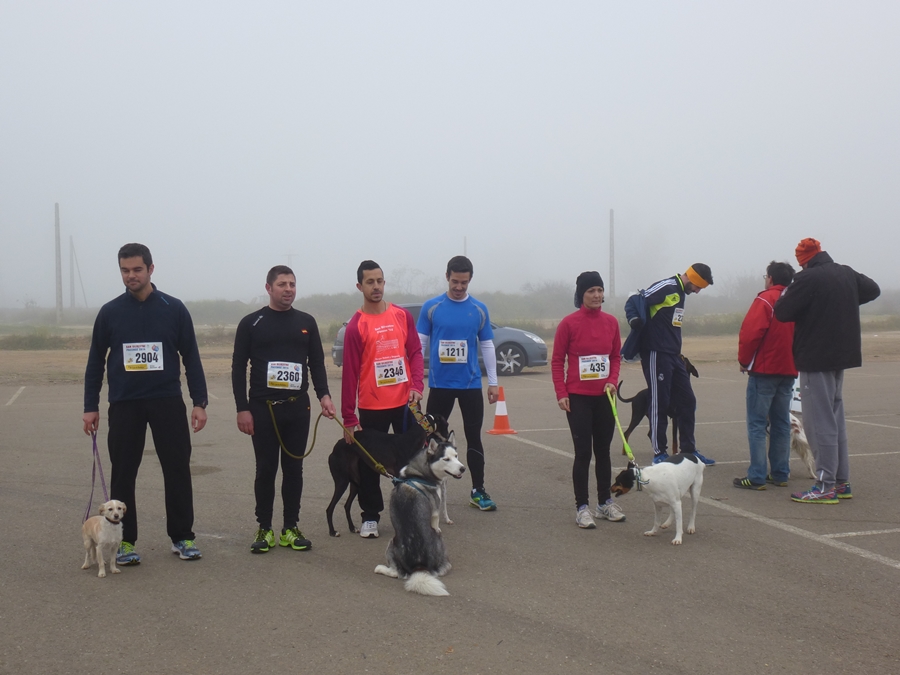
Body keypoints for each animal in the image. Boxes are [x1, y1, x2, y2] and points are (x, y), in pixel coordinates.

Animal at [376, 434, 468, 596]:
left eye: (456, 456)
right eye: (446, 459)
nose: (462, 468)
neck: (418, 473)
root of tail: (419, 567)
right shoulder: (436, 511)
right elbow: (437, 522)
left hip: (391, 543)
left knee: (397, 573)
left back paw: (381, 569)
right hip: (436, 542)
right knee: (442, 569)